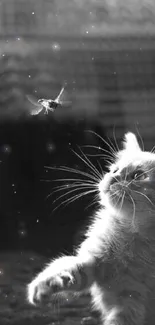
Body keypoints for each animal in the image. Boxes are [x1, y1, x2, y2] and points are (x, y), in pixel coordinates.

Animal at [27, 132, 155, 324]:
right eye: (114, 169)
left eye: (138, 175)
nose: (112, 177)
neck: (135, 232)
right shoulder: (94, 262)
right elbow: (71, 267)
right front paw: (48, 284)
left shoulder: (132, 304)